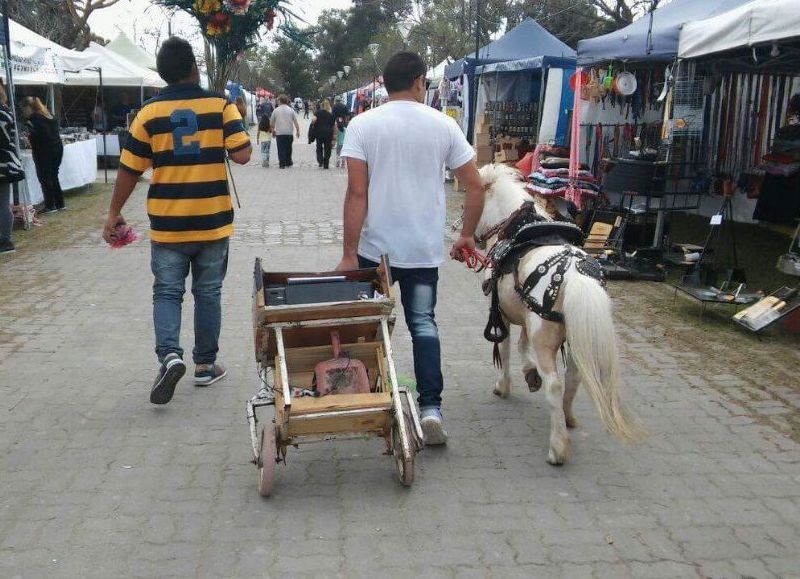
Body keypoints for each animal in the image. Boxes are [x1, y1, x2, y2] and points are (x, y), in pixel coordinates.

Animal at [476, 164, 644, 466]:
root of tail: (576, 273)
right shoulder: (526, 316)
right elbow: (522, 344)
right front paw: (529, 372)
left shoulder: (502, 316)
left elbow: (505, 350)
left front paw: (504, 385)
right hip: (575, 340)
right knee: (573, 378)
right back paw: (566, 420)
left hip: (547, 341)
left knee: (554, 384)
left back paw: (557, 448)